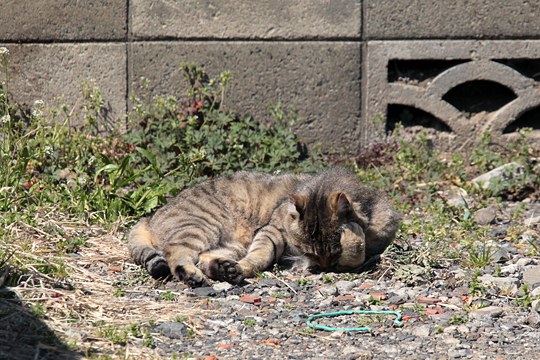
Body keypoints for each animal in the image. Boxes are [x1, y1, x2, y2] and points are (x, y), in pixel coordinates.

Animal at [125, 167, 396, 288]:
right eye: (308, 251)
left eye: (331, 254)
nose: (323, 268)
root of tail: (150, 217)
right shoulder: (272, 231)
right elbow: (260, 255)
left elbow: (356, 251)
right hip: (200, 226)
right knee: (176, 253)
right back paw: (193, 275)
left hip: (229, 244)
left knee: (205, 258)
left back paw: (223, 269)